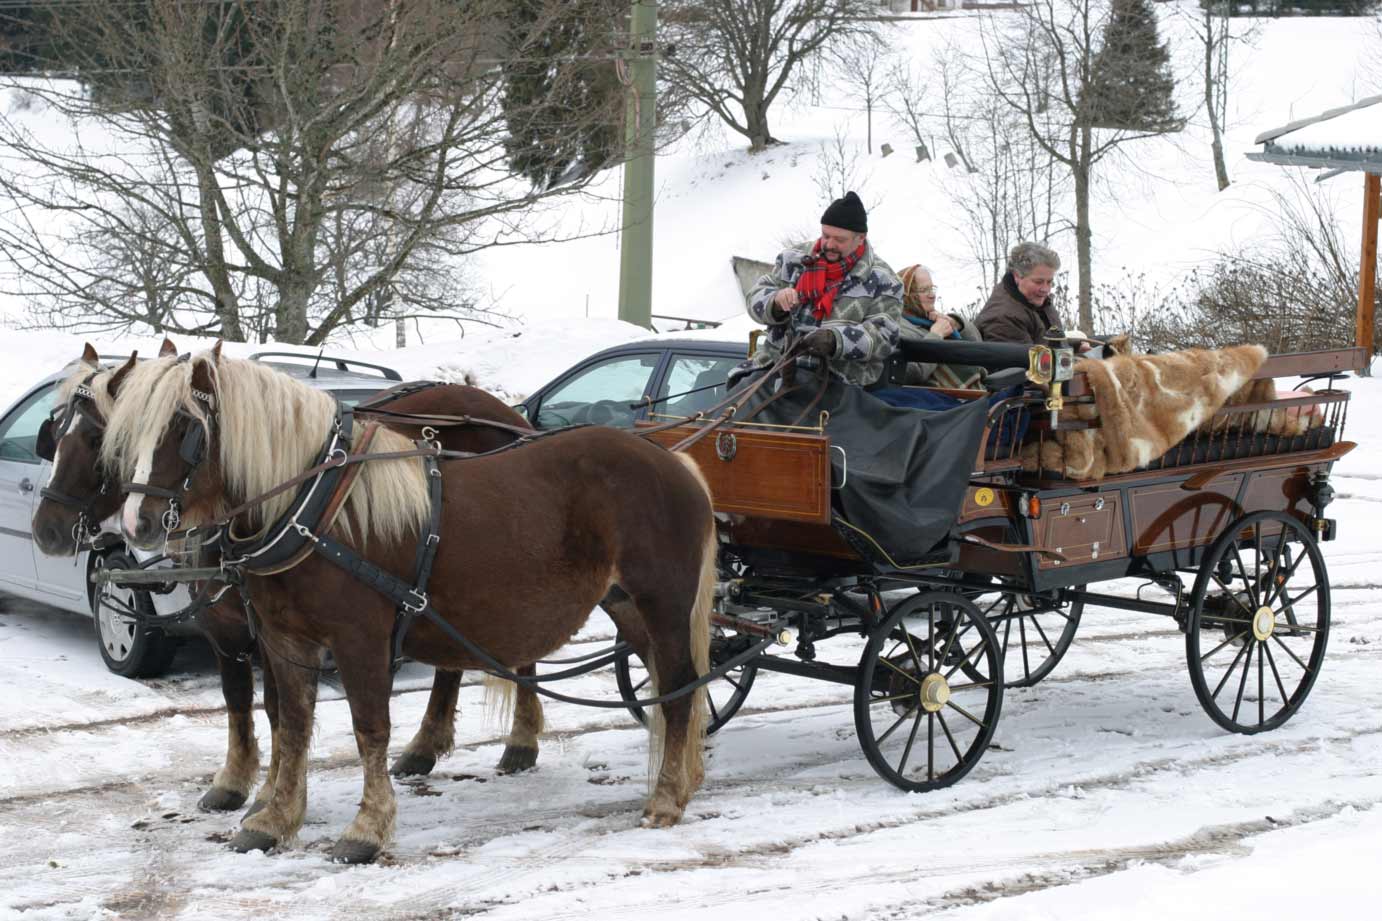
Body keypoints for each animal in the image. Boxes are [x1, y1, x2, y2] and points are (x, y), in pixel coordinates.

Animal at [102, 344, 718, 862]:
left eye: (186, 429)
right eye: (125, 435)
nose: (137, 524)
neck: (312, 506)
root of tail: (672, 460)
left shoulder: (360, 638)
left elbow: (369, 727)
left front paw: (366, 829)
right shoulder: (283, 639)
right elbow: (292, 723)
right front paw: (274, 819)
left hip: (663, 601)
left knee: (681, 688)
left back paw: (665, 797)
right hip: (627, 605)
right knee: (672, 684)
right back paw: (684, 775)